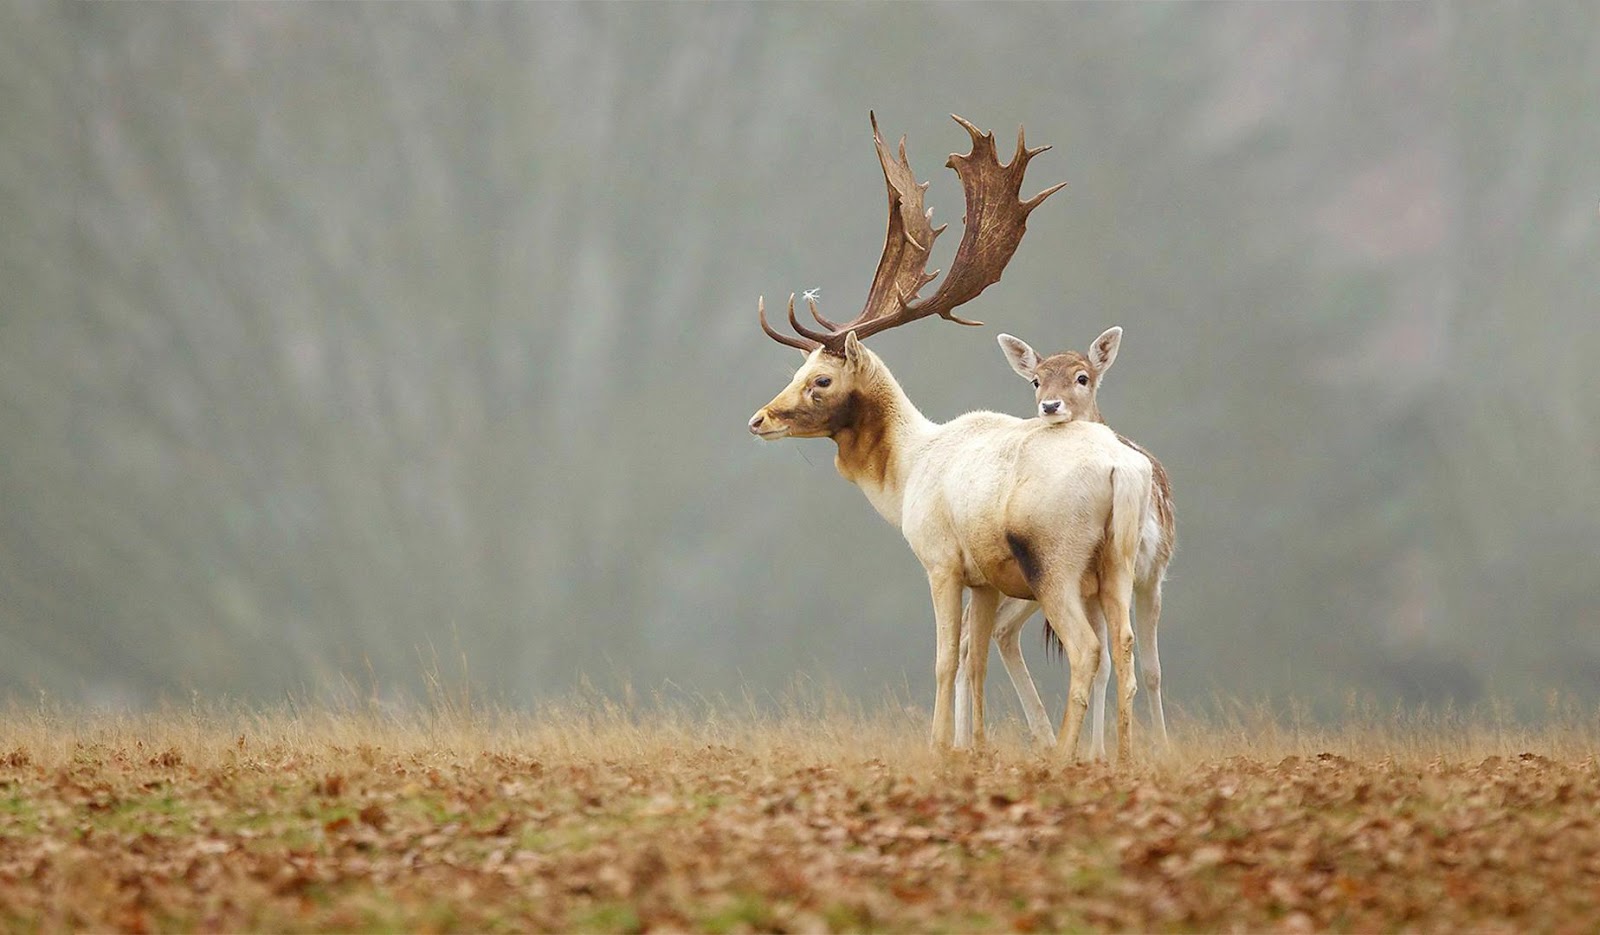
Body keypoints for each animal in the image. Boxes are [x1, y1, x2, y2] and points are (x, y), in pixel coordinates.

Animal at [748, 115, 1152, 758]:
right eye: (797, 370)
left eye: (820, 379)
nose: (759, 419)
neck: (908, 471)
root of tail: (1123, 470)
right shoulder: (984, 578)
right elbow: (975, 662)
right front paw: (975, 747)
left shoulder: (940, 560)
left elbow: (943, 659)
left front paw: (939, 746)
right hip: (1117, 562)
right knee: (1127, 651)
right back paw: (1122, 757)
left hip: (1056, 560)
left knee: (1087, 650)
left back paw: (1064, 755)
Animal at [953, 325, 1184, 755]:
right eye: (1036, 379)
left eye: (1082, 377)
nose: (1050, 405)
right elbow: (1110, 664)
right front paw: (1097, 752)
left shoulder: (1153, 573)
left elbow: (1150, 669)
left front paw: (1158, 749)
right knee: (974, 633)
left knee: (993, 631)